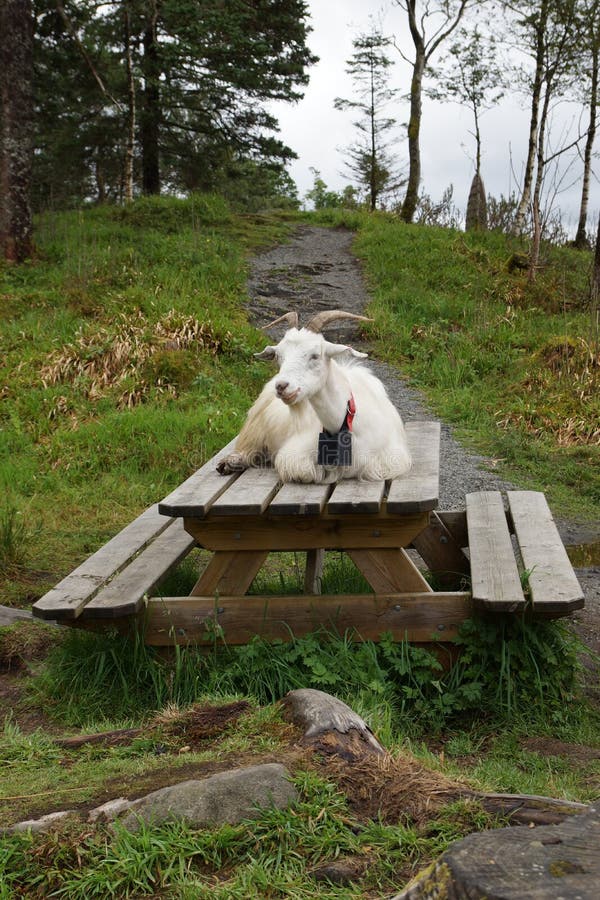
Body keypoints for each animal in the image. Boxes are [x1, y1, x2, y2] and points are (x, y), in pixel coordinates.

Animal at [217, 309, 411, 483]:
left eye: (315, 355)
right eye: (279, 356)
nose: (281, 386)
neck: (343, 424)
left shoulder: (390, 460)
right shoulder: (294, 454)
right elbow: (304, 470)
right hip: (255, 426)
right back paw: (230, 463)